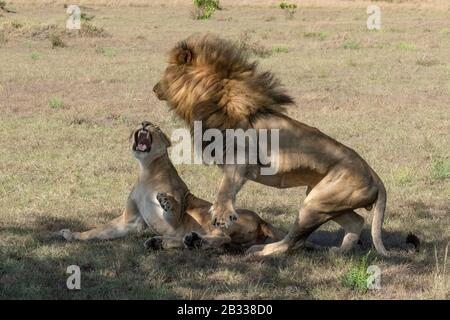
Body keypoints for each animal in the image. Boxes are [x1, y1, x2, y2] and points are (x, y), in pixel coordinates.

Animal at [55, 120, 282, 250]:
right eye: (143, 122)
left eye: (156, 127)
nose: (145, 123)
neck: (146, 171)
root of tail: (262, 220)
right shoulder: (130, 221)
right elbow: (99, 230)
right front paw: (73, 235)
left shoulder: (176, 219)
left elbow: (172, 209)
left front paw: (167, 201)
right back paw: (165, 242)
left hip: (214, 218)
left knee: (223, 239)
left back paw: (193, 241)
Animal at [153, 33, 388, 256]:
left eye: (166, 73)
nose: (154, 88)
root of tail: (374, 175)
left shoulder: (242, 157)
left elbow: (225, 188)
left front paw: (221, 216)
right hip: (326, 200)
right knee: (356, 221)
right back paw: (338, 251)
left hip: (315, 203)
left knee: (293, 242)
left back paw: (260, 251)